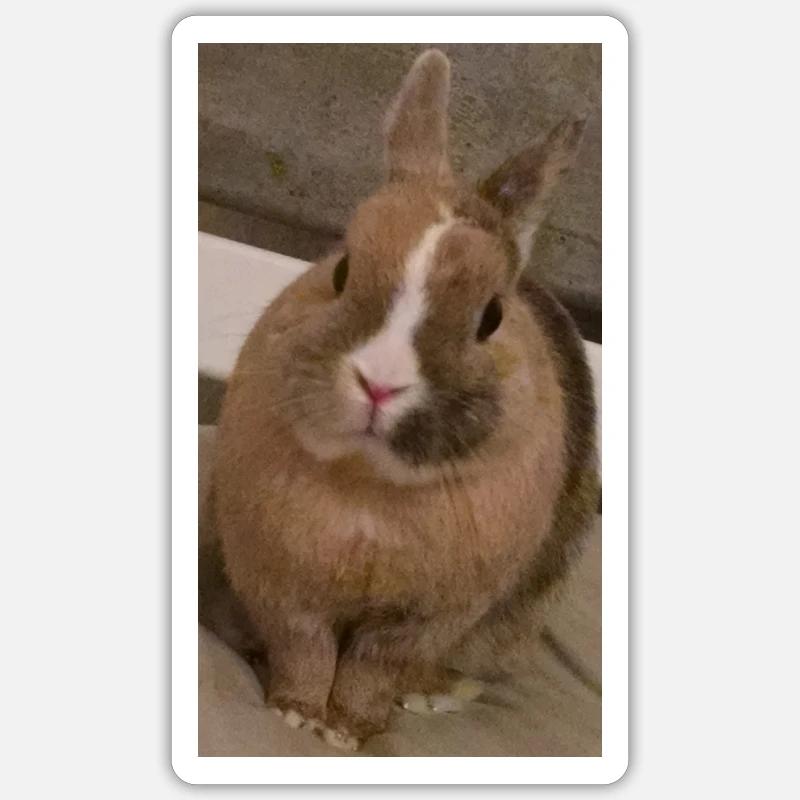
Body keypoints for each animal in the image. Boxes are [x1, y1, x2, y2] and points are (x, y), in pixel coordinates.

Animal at [211, 48, 599, 751]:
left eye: (492, 316)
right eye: (341, 271)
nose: (379, 381)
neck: (369, 489)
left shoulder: (424, 619)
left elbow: (372, 669)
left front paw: (348, 731)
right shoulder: (284, 591)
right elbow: (305, 653)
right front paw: (297, 714)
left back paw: (431, 696)